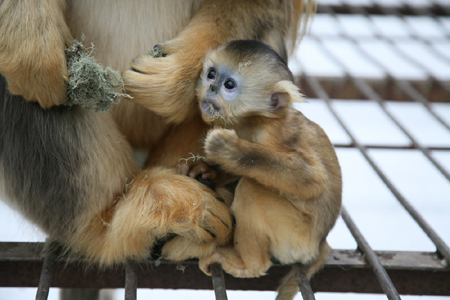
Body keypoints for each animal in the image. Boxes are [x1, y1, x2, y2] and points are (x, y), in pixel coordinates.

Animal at [195, 40, 342, 282]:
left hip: (294, 236)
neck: (255, 120)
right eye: (211, 74)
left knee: (250, 189)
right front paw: (208, 172)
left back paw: (251, 265)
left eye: (229, 84)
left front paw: (230, 150)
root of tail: (318, 246)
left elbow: (311, 179)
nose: (212, 88)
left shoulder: (275, 132)